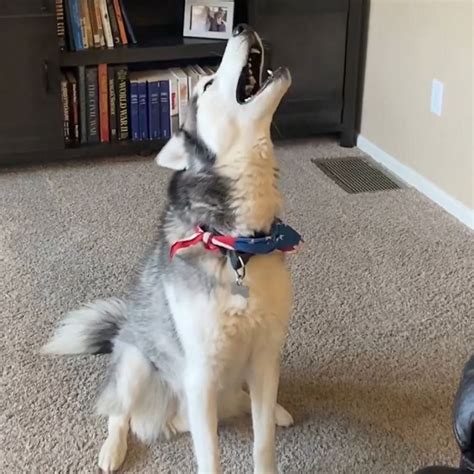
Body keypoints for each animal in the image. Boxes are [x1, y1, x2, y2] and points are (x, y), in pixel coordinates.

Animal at [43, 24, 296, 472]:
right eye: (207, 83)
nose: (241, 27)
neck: (237, 244)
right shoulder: (202, 376)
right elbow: (210, 457)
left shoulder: (266, 357)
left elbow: (262, 442)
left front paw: (269, 428)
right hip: (136, 365)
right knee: (118, 413)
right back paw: (112, 450)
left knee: (245, 402)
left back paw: (276, 410)